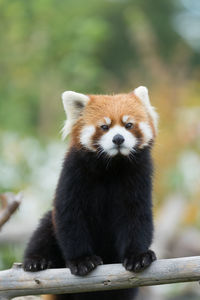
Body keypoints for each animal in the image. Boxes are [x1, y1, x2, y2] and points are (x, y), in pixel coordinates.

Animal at [23, 86, 158, 300]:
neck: (112, 166)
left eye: (128, 125)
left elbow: (136, 216)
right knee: (43, 230)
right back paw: (36, 260)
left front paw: (138, 256)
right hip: (48, 226)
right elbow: (70, 217)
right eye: (104, 126)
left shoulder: (139, 177)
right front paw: (82, 260)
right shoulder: (74, 174)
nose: (118, 138)